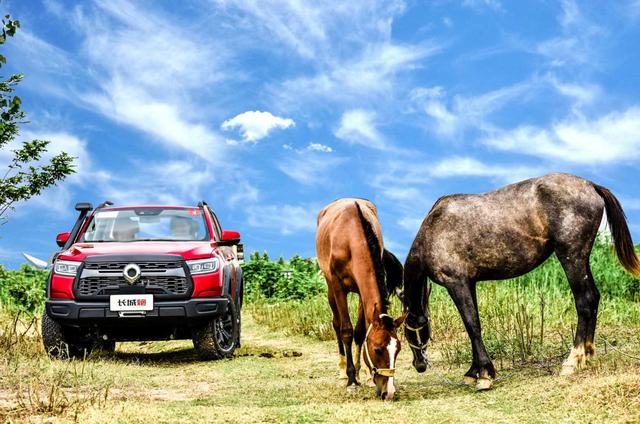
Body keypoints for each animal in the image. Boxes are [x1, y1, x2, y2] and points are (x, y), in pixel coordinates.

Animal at [316, 199, 404, 400]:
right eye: (378, 349)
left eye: (398, 349)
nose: (389, 392)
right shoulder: (338, 286)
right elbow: (346, 331)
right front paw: (351, 380)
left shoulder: (363, 290)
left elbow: (360, 332)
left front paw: (362, 375)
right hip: (330, 289)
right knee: (336, 324)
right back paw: (342, 374)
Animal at [402, 173, 640, 390]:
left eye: (407, 331)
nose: (419, 365)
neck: (435, 229)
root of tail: (591, 185)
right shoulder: (469, 284)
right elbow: (473, 323)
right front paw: (474, 372)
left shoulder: (457, 283)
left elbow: (472, 325)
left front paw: (484, 375)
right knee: (594, 297)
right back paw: (587, 355)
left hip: (572, 256)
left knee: (585, 301)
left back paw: (572, 361)